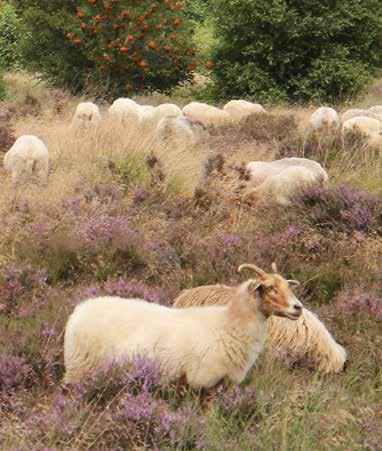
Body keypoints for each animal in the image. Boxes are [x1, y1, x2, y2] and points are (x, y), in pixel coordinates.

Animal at [62, 264, 302, 388]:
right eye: (270, 287)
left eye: (287, 286)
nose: (298, 307)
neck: (229, 324)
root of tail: (79, 310)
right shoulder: (203, 381)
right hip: (80, 368)